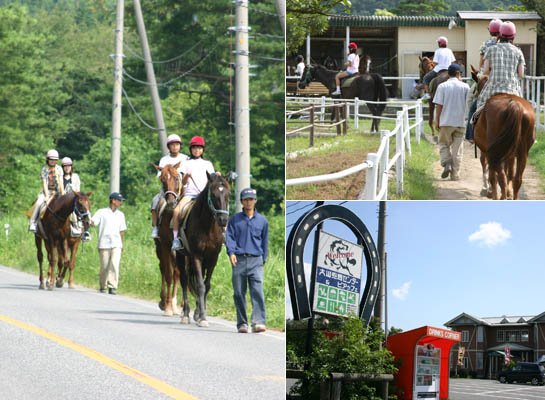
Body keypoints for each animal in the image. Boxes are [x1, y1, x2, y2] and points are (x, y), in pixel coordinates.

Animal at [175, 173, 231, 328]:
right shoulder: (196, 256)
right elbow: (200, 286)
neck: (207, 226)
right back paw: (186, 314)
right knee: (184, 281)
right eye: (213, 195)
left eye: (228, 194)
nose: (223, 220)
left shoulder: (212, 258)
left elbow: (207, 285)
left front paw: (200, 314)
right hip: (181, 256)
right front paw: (203, 318)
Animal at [472, 71, 536, 199]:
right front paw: (506, 192)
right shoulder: (509, 154)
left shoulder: (487, 152)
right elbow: (509, 172)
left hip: (495, 152)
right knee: (517, 179)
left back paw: (499, 197)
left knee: (501, 176)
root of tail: (515, 104)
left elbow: (491, 174)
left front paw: (490, 192)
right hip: (522, 153)